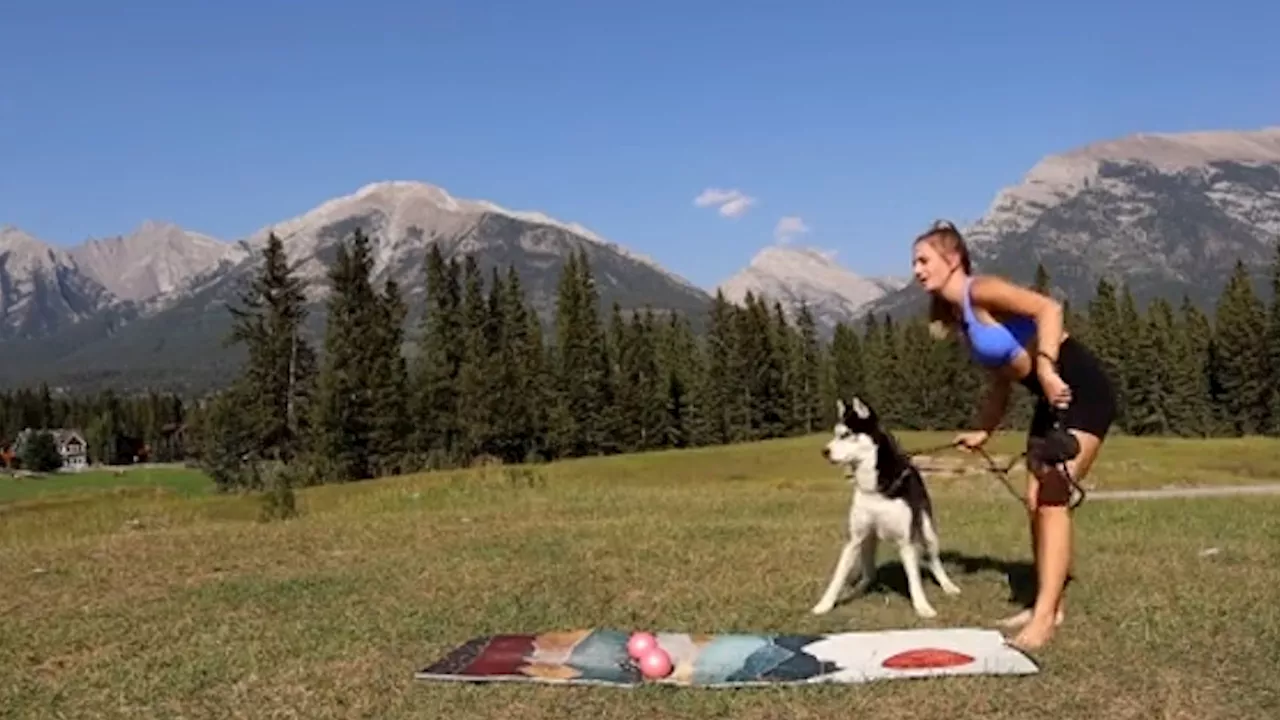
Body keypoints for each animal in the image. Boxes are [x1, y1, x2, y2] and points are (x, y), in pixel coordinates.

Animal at [808, 392, 962, 617]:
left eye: (846, 434)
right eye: (835, 435)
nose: (824, 451)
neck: (875, 488)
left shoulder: (906, 541)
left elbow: (914, 580)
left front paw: (922, 607)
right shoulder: (854, 539)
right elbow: (838, 576)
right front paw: (825, 604)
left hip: (927, 532)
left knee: (934, 561)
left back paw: (948, 585)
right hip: (866, 541)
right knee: (869, 572)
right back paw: (862, 587)